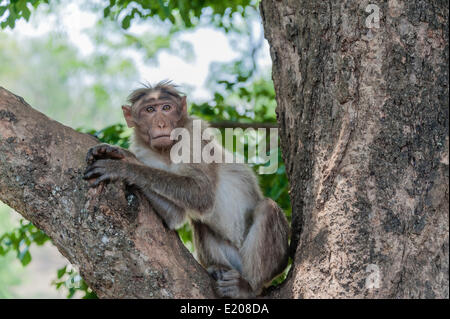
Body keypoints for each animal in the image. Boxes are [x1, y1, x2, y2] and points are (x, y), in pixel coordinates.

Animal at [83, 80, 290, 300]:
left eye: (166, 108)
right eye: (150, 110)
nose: (161, 124)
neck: (165, 152)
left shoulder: (193, 136)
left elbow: (201, 194)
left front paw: (122, 164)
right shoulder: (146, 153)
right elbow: (175, 215)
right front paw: (118, 154)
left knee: (267, 208)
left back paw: (249, 287)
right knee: (200, 222)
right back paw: (217, 268)